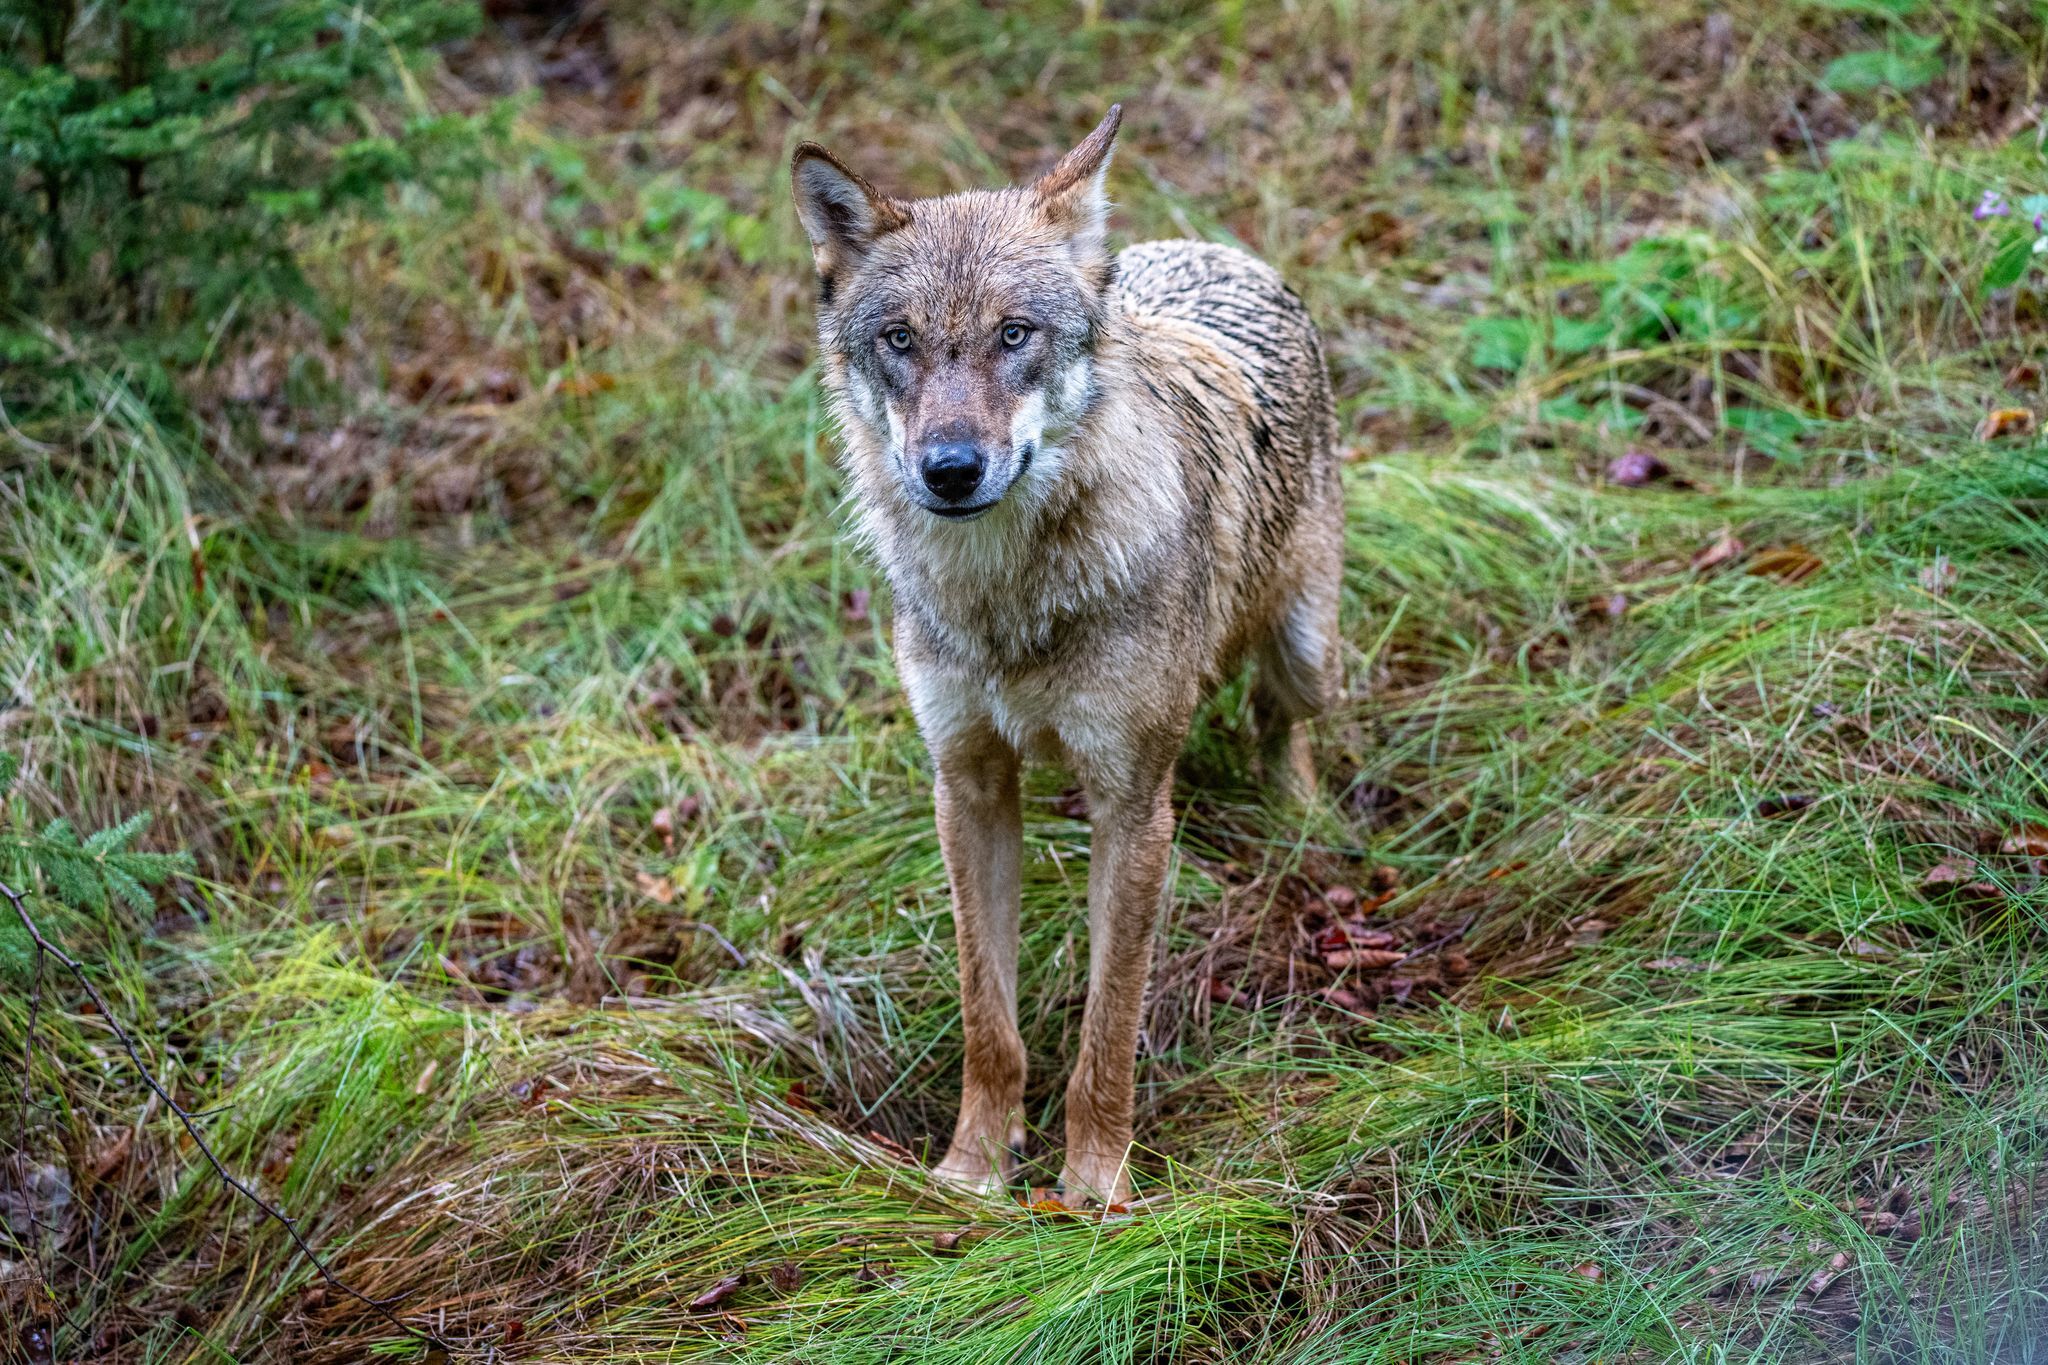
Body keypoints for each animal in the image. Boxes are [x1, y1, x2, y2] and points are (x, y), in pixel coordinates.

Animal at [791, 105, 1343, 1205]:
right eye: (900, 340)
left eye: (1015, 335)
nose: (950, 469)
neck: (1008, 599)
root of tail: (1211, 250)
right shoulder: (965, 784)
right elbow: (987, 1020)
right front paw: (972, 1172)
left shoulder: (1133, 808)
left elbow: (1107, 1028)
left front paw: (1093, 1191)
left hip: (1304, 649)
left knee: (1281, 720)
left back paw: (1300, 820)